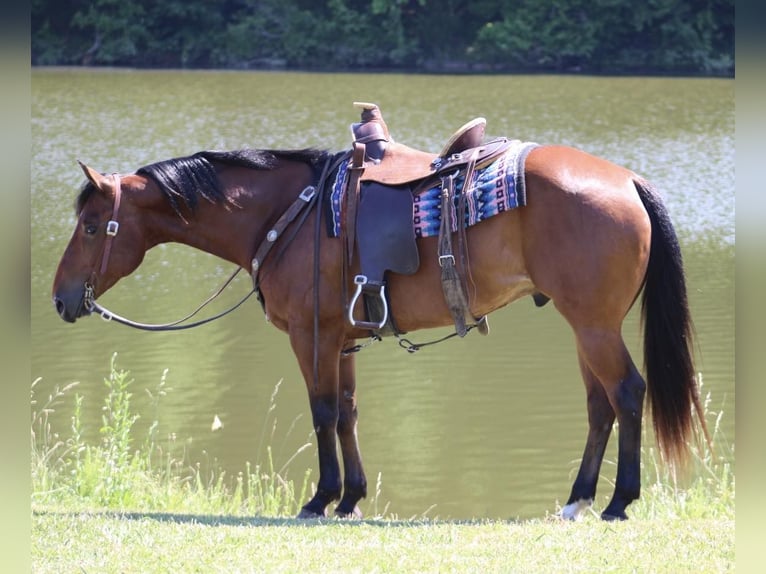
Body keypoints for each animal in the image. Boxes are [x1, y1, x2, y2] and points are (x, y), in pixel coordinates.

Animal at [51, 128, 712, 524]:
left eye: (91, 226)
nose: (60, 298)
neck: (288, 213)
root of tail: (626, 180)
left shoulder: (311, 336)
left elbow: (321, 412)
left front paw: (320, 498)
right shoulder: (341, 342)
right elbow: (346, 413)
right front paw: (350, 498)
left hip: (595, 326)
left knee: (627, 393)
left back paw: (619, 502)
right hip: (585, 327)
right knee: (600, 405)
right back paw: (578, 500)